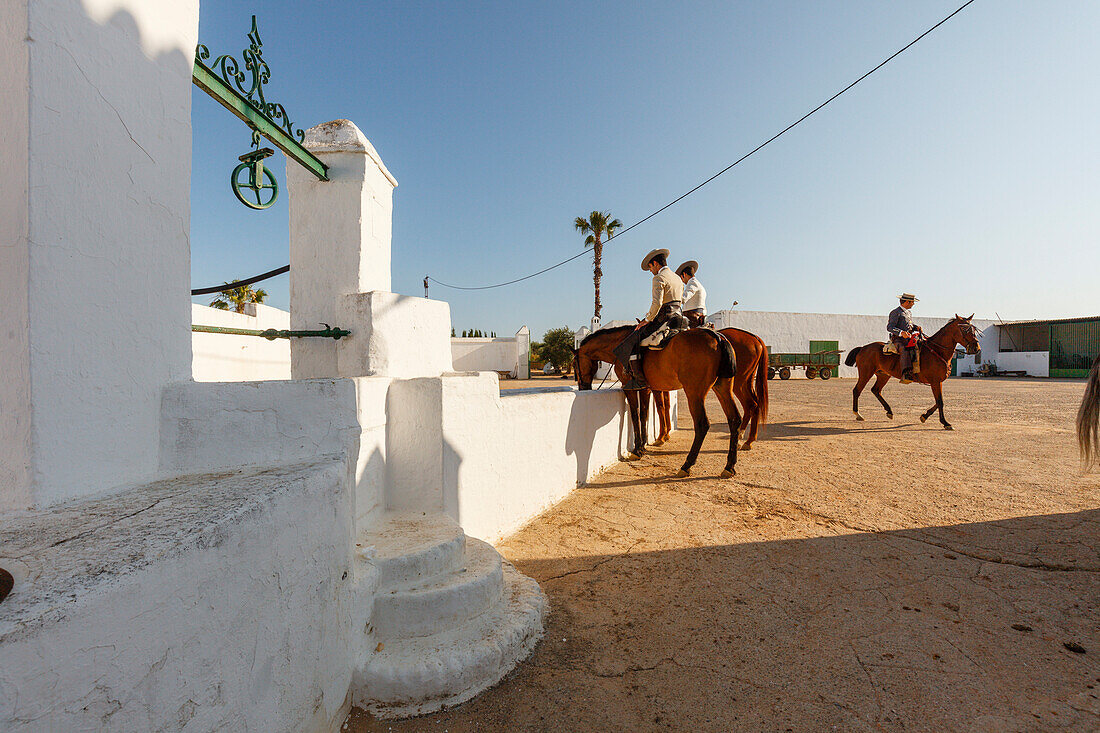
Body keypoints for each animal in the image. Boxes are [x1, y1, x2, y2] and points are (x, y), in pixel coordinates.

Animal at [572, 323, 743, 473]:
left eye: (574, 364)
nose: (583, 388)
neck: (619, 346)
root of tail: (717, 337)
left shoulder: (629, 388)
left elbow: (635, 415)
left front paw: (637, 450)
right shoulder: (646, 388)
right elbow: (644, 415)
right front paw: (642, 447)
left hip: (694, 393)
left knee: (702, 424)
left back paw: (687, 465)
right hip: (722, 388)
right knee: (734, 419)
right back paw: (729, 466)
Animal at [844, 314, 985, 429]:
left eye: (973, 330)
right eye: (964, 329)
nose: (976, 348)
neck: (937, 351)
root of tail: (863, 348)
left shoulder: (937, 382)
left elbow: (938, 401)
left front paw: (924, 416)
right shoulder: (935, 381)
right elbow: (940, 401)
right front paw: (945, 423)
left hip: (883, 375)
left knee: (876, 390)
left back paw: (889, 412)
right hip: (866, 373)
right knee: (857, 390)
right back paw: (858, 414)